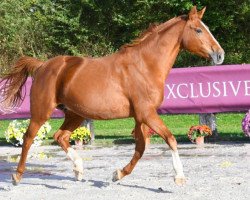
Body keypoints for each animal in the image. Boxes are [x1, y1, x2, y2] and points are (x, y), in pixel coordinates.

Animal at [0, 6, 225, 186]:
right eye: (198, 30)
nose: (220, 54)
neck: (145, 65)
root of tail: (42, 66)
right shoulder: (147, 114)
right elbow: (170, 139)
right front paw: (179, 177)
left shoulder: (140, 117)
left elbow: (141, 148)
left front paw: (118, 174)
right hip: (42, 111)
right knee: (28, 137)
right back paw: (17, 176)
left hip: (75, 114)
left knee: (60, 136)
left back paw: (79, 171)